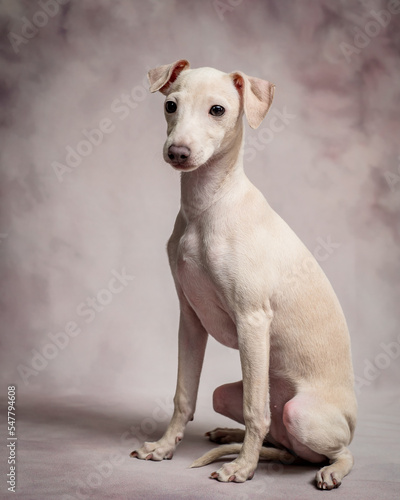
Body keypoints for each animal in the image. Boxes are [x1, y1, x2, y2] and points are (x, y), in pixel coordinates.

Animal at [130, 60, 356, 490]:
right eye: (170, 105)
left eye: (217, 110)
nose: (178, 153)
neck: (208, 205)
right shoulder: (191, 320)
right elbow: (183, 394)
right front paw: (164, 447)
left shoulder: (253, 321)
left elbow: (256, 409)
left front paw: (242, 469)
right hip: (225, 395)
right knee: (272, 433)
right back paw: (227, 434)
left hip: (301, 414)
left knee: (337, 450)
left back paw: (328, 470)